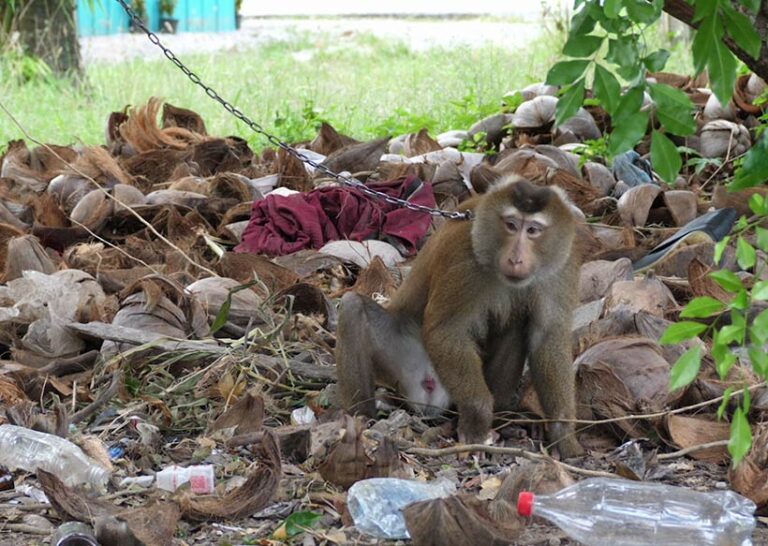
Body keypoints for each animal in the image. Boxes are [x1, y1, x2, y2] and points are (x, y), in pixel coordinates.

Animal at [334, 176, 584, 456]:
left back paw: (502, 420)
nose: (516, 259)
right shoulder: (463, 255)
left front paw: (564, 435)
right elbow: (446, 331)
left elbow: (548, 337)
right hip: (405, 361)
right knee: (353, 308)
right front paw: (477, 422)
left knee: (517, 324)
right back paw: (362, 419)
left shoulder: (561, 265)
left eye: (532, 230)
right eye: (510, 225)